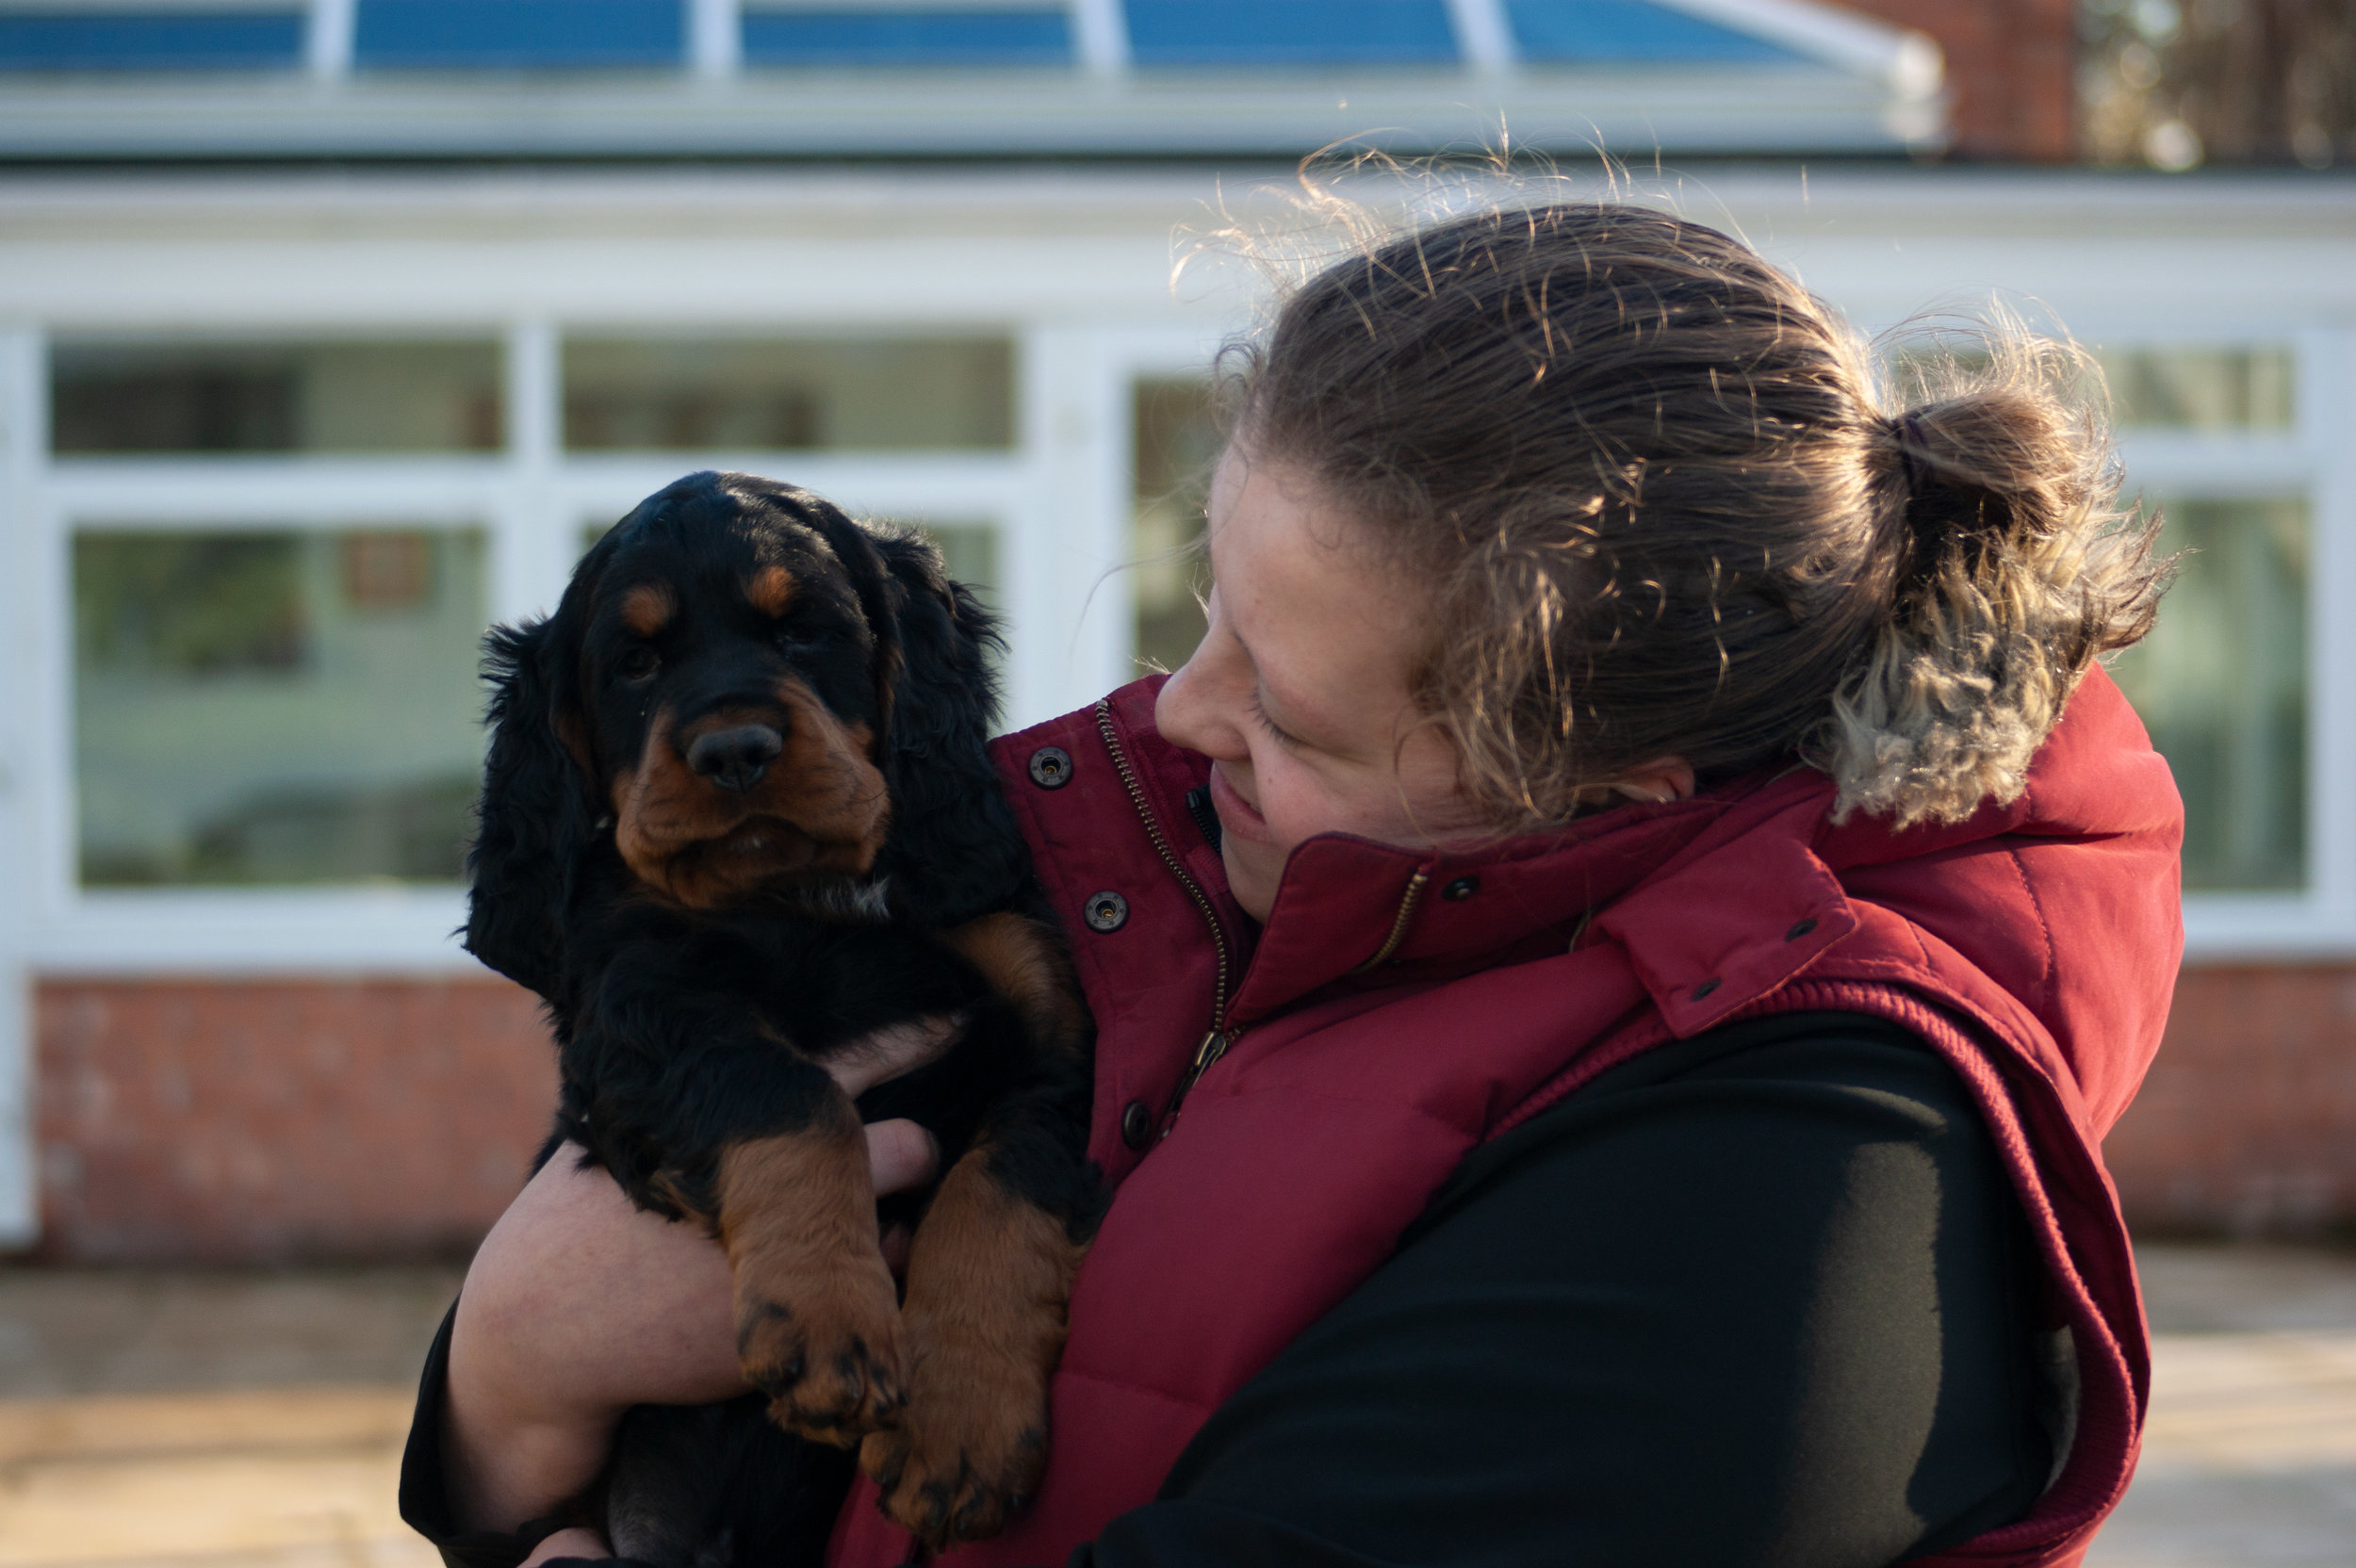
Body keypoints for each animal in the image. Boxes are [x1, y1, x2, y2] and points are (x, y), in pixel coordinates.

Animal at [464, 470, 1099, 1561]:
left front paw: (961, 1422)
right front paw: (826, 1318)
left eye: (804, 632)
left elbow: (1001, 1183)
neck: (806, 895)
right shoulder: (641, 1011)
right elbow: (788, 1092)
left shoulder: (1046, 1037)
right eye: (634, 663)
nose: (733, 749)